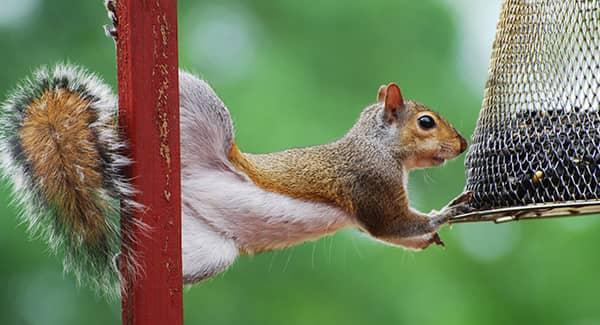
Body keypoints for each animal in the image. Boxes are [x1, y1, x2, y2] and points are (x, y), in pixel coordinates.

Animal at [0, 0, 472, 296]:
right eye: (426, 122)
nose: (463, 143)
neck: (379, 147)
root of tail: (184, 182)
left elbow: (388, 233)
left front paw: (432, 234)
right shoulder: (371, 183)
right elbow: (390, 224)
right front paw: (443, 215)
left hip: (202, 249)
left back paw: (121, 260)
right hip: (195, 105)